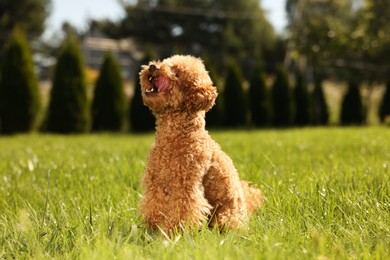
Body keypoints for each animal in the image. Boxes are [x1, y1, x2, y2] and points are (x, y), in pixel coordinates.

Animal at [139, 54, 264, 234]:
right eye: (164, 63)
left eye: (177, 74)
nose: (152, 67)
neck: (171, 137)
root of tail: (246, 206)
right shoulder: (156, 183)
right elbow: (154, 205)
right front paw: (153, 229)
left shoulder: (186, 185)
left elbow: (183, 210)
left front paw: (174, 233)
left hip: (226, 215)